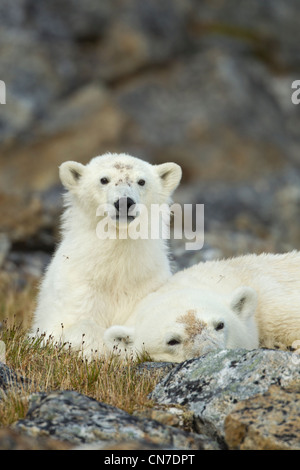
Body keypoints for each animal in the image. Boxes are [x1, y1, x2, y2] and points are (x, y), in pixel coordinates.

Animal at [30, 152, 182, 354]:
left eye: (141, 181)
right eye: (104, 179)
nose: (125, 202)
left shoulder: (146, 285)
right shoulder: (79, 290)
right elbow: (74, 326)